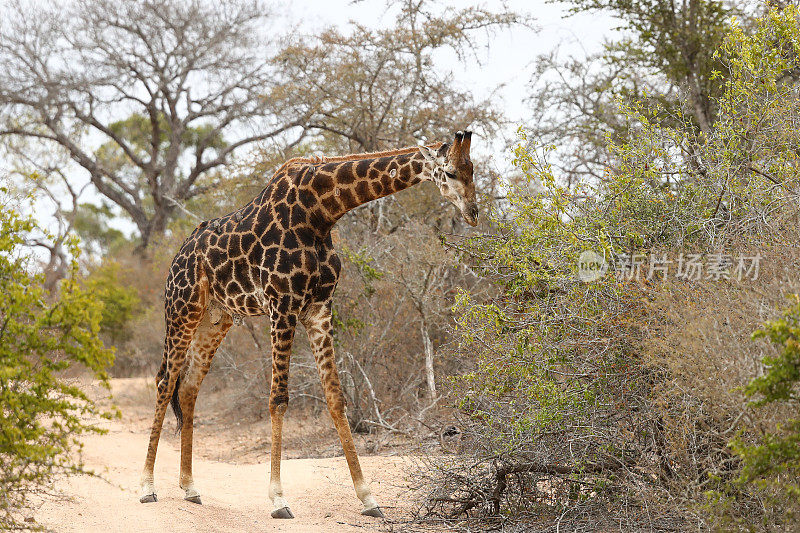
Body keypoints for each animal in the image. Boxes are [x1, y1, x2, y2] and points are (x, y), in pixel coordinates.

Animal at [139, 131, 476, 516]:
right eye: (449, 172)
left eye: (473, 170)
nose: (473, 213)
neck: (321, 212)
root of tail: (176, 256)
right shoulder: (282, 305)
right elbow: (278, 399)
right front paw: (278, 499)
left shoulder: (318, 307)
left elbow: (335, 398)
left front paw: (368, 497)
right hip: (182, 310)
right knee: (165, 381)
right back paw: (147, 487)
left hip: (216, 318)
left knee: (189, 386)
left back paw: (190, 487)